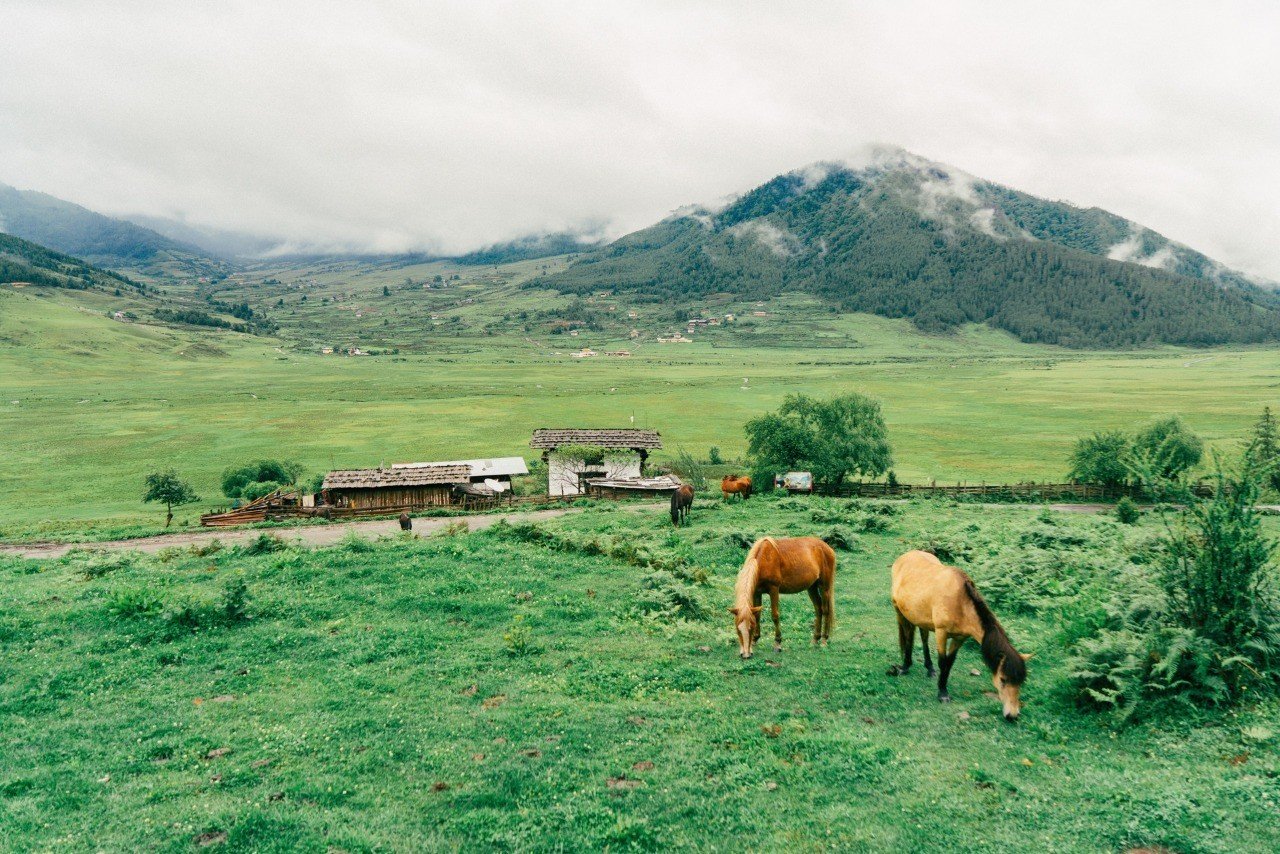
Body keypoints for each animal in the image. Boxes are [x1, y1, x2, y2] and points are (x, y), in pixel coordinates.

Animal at [890, 550, 1029, 727]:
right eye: (1003, 680)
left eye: (1021, 682)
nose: (1012, 715)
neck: (960, 602)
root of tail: (905, 555)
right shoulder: (941, 633)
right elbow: (943, 662)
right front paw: (942, 693)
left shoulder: (959, 638)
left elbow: (949, 663)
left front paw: (942, 685)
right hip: (899, 611)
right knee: (908, 637)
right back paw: (905, 666)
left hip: (921, 617)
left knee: (923, 637)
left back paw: (929, 668)